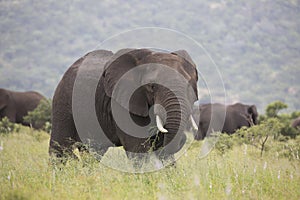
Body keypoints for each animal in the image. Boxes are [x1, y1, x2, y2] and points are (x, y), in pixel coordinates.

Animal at [49, 47, 199, 165]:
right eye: (152, 86)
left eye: (189, 85)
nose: (185, 138)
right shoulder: (122, 104)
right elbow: (138, 149)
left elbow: (163, 151)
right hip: (63, 100)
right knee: (60, 148)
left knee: (93, 152)